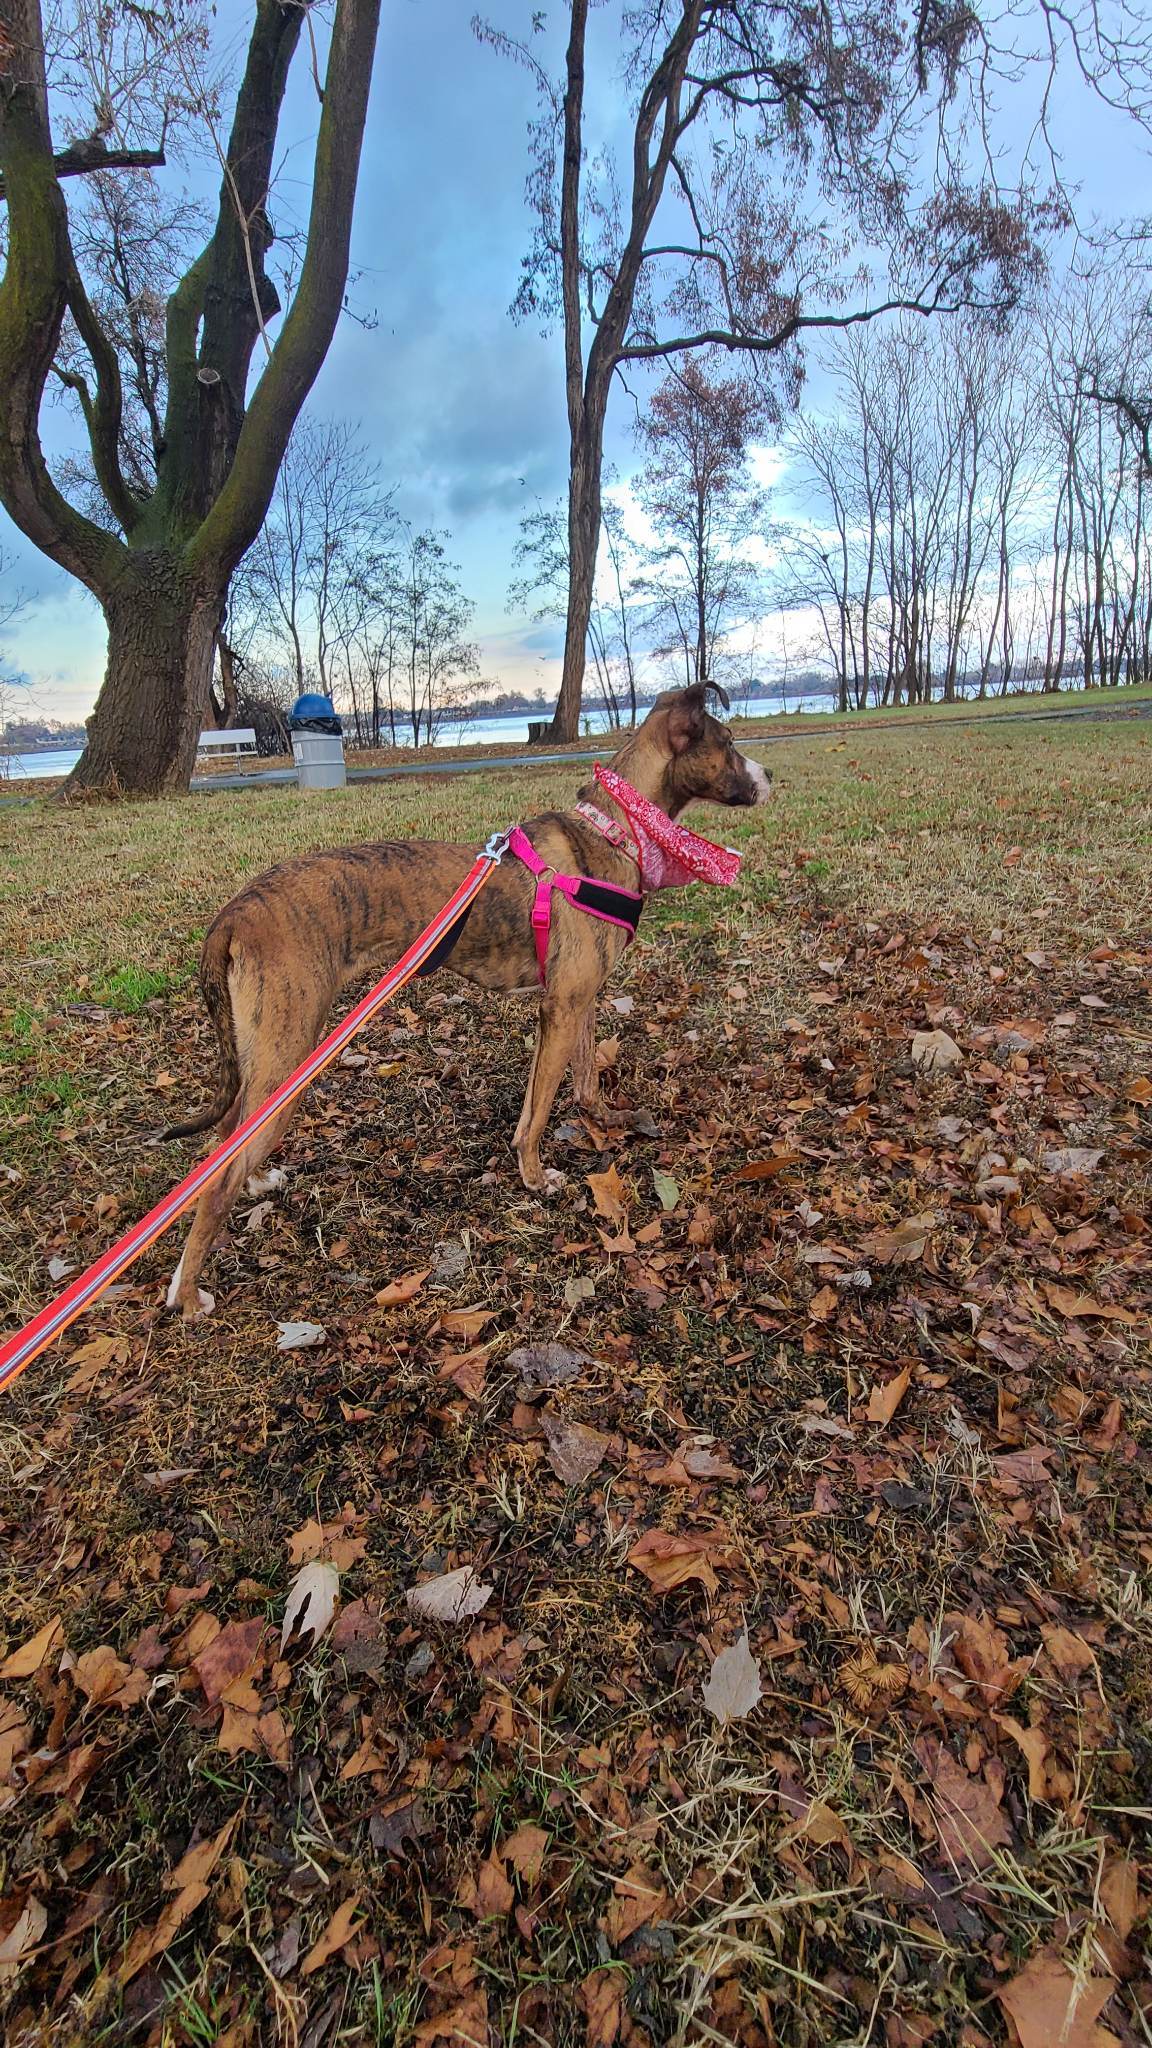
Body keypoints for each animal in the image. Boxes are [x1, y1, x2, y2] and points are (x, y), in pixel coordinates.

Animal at [161, 679, 766, 1318]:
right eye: (729, 743)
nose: (769, 775)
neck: (616, 830)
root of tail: (235, 913)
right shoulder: (560, 1009)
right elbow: (538, 1109)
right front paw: (534, 1177)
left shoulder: (578, 1002)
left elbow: (582, 1080)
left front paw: (603, 1121)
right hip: (289, 1052)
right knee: (216, 1180)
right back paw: (190, 1293)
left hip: (268, 1058)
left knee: (230, 1139)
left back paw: (250, 1191)